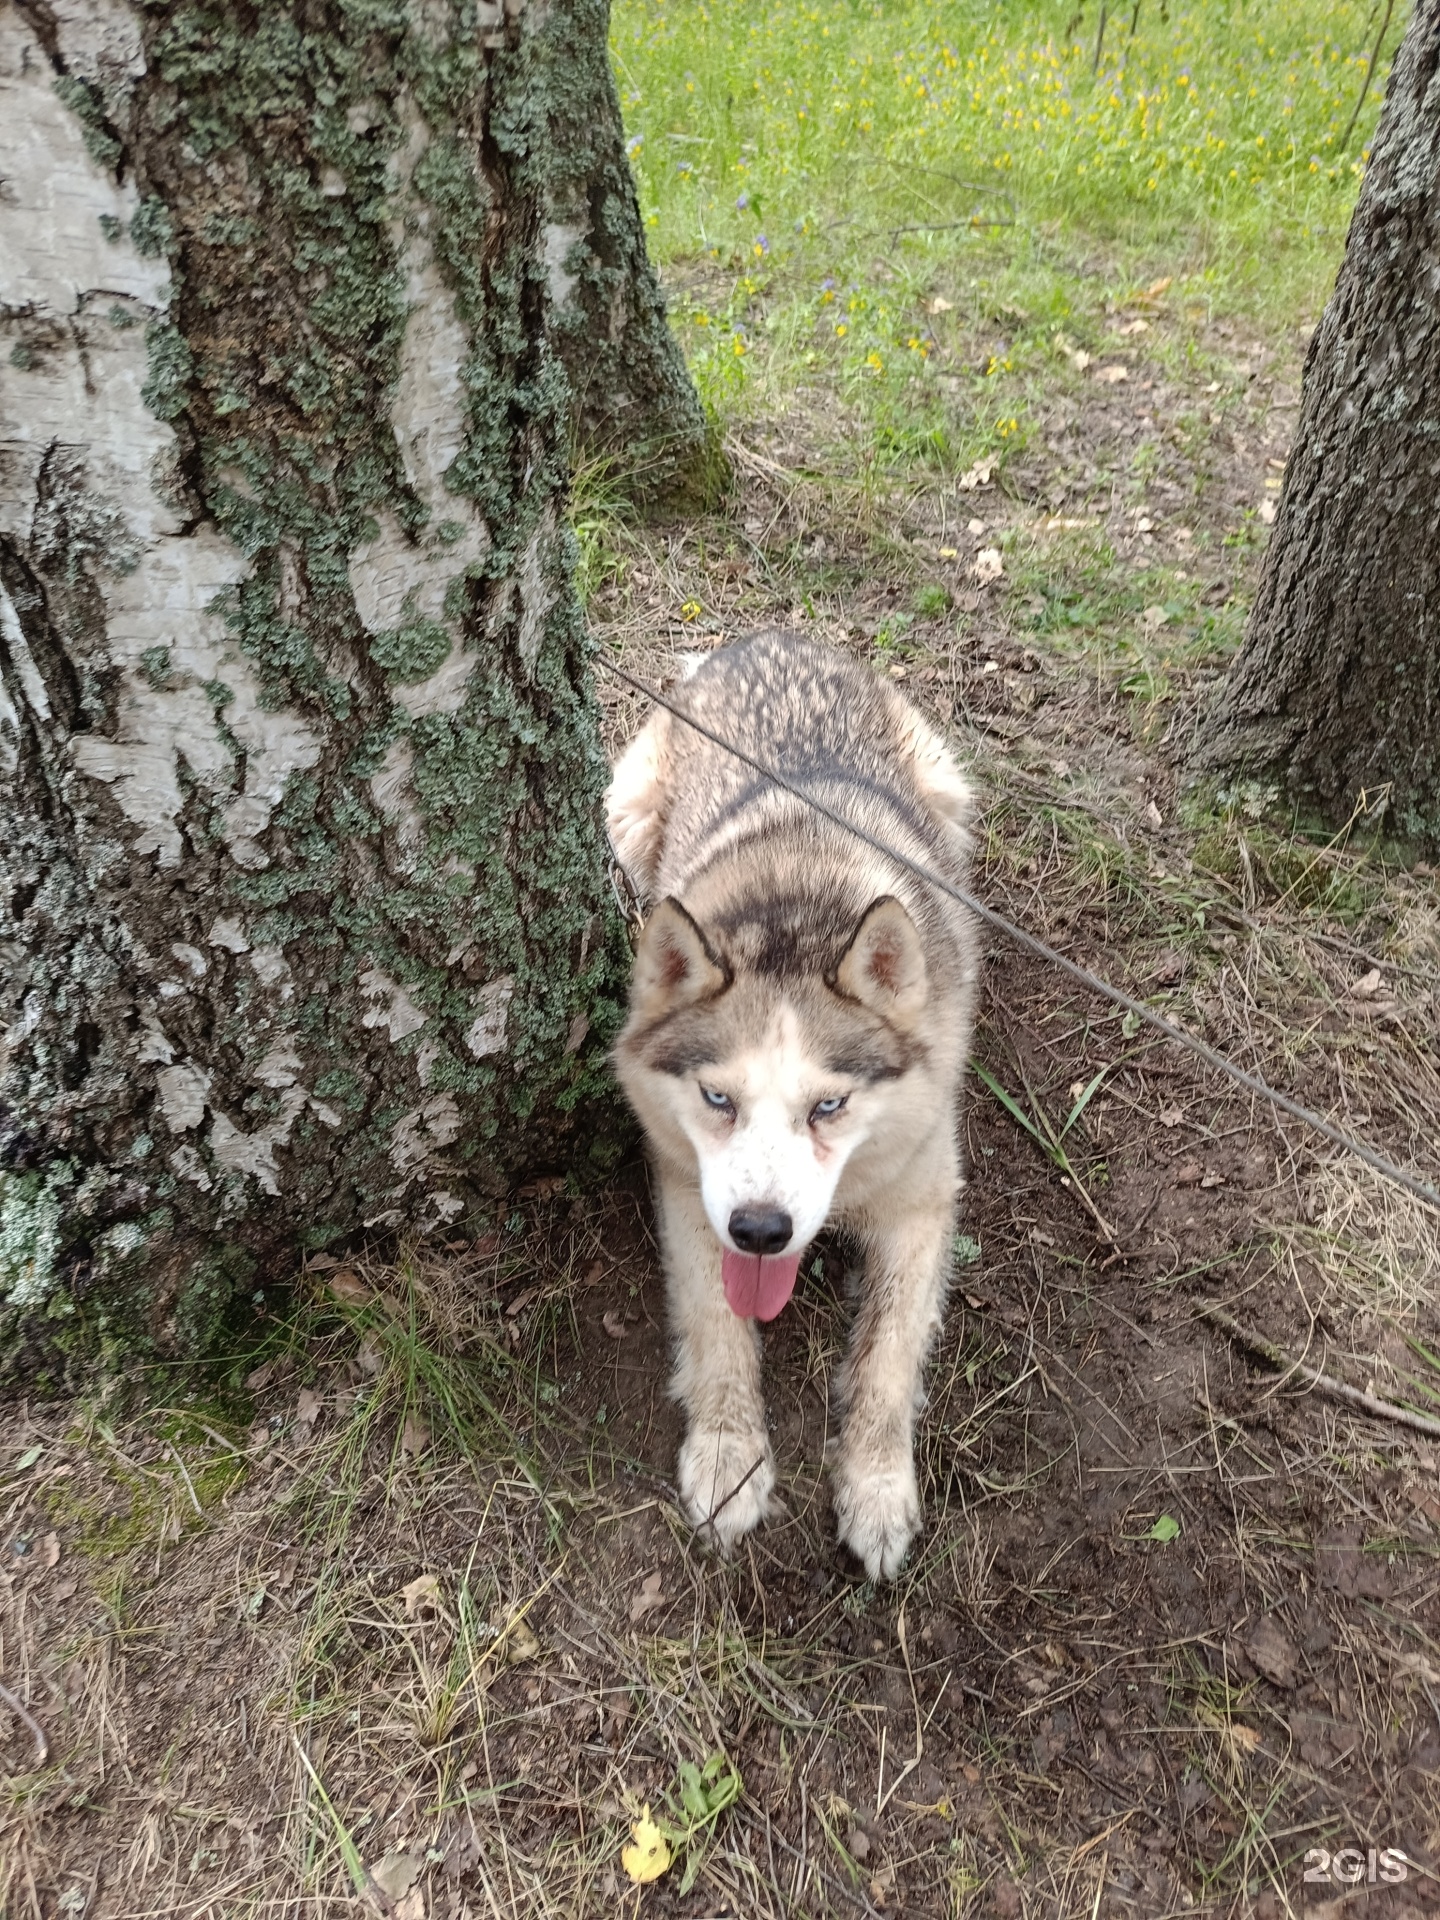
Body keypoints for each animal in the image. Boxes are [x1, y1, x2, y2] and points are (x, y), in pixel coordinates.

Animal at [610, 629, 983, 1574]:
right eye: (717, 1097)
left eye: (828, 1107)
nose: (760, 1232)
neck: (795, 916)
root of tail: (770, 636)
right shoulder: (686, 1188)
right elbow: (717, 1327)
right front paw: (729, 1457)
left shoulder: (924, 1202)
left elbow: (888, 1355)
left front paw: (877, 1487)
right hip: (625, 809)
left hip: (949, 794)